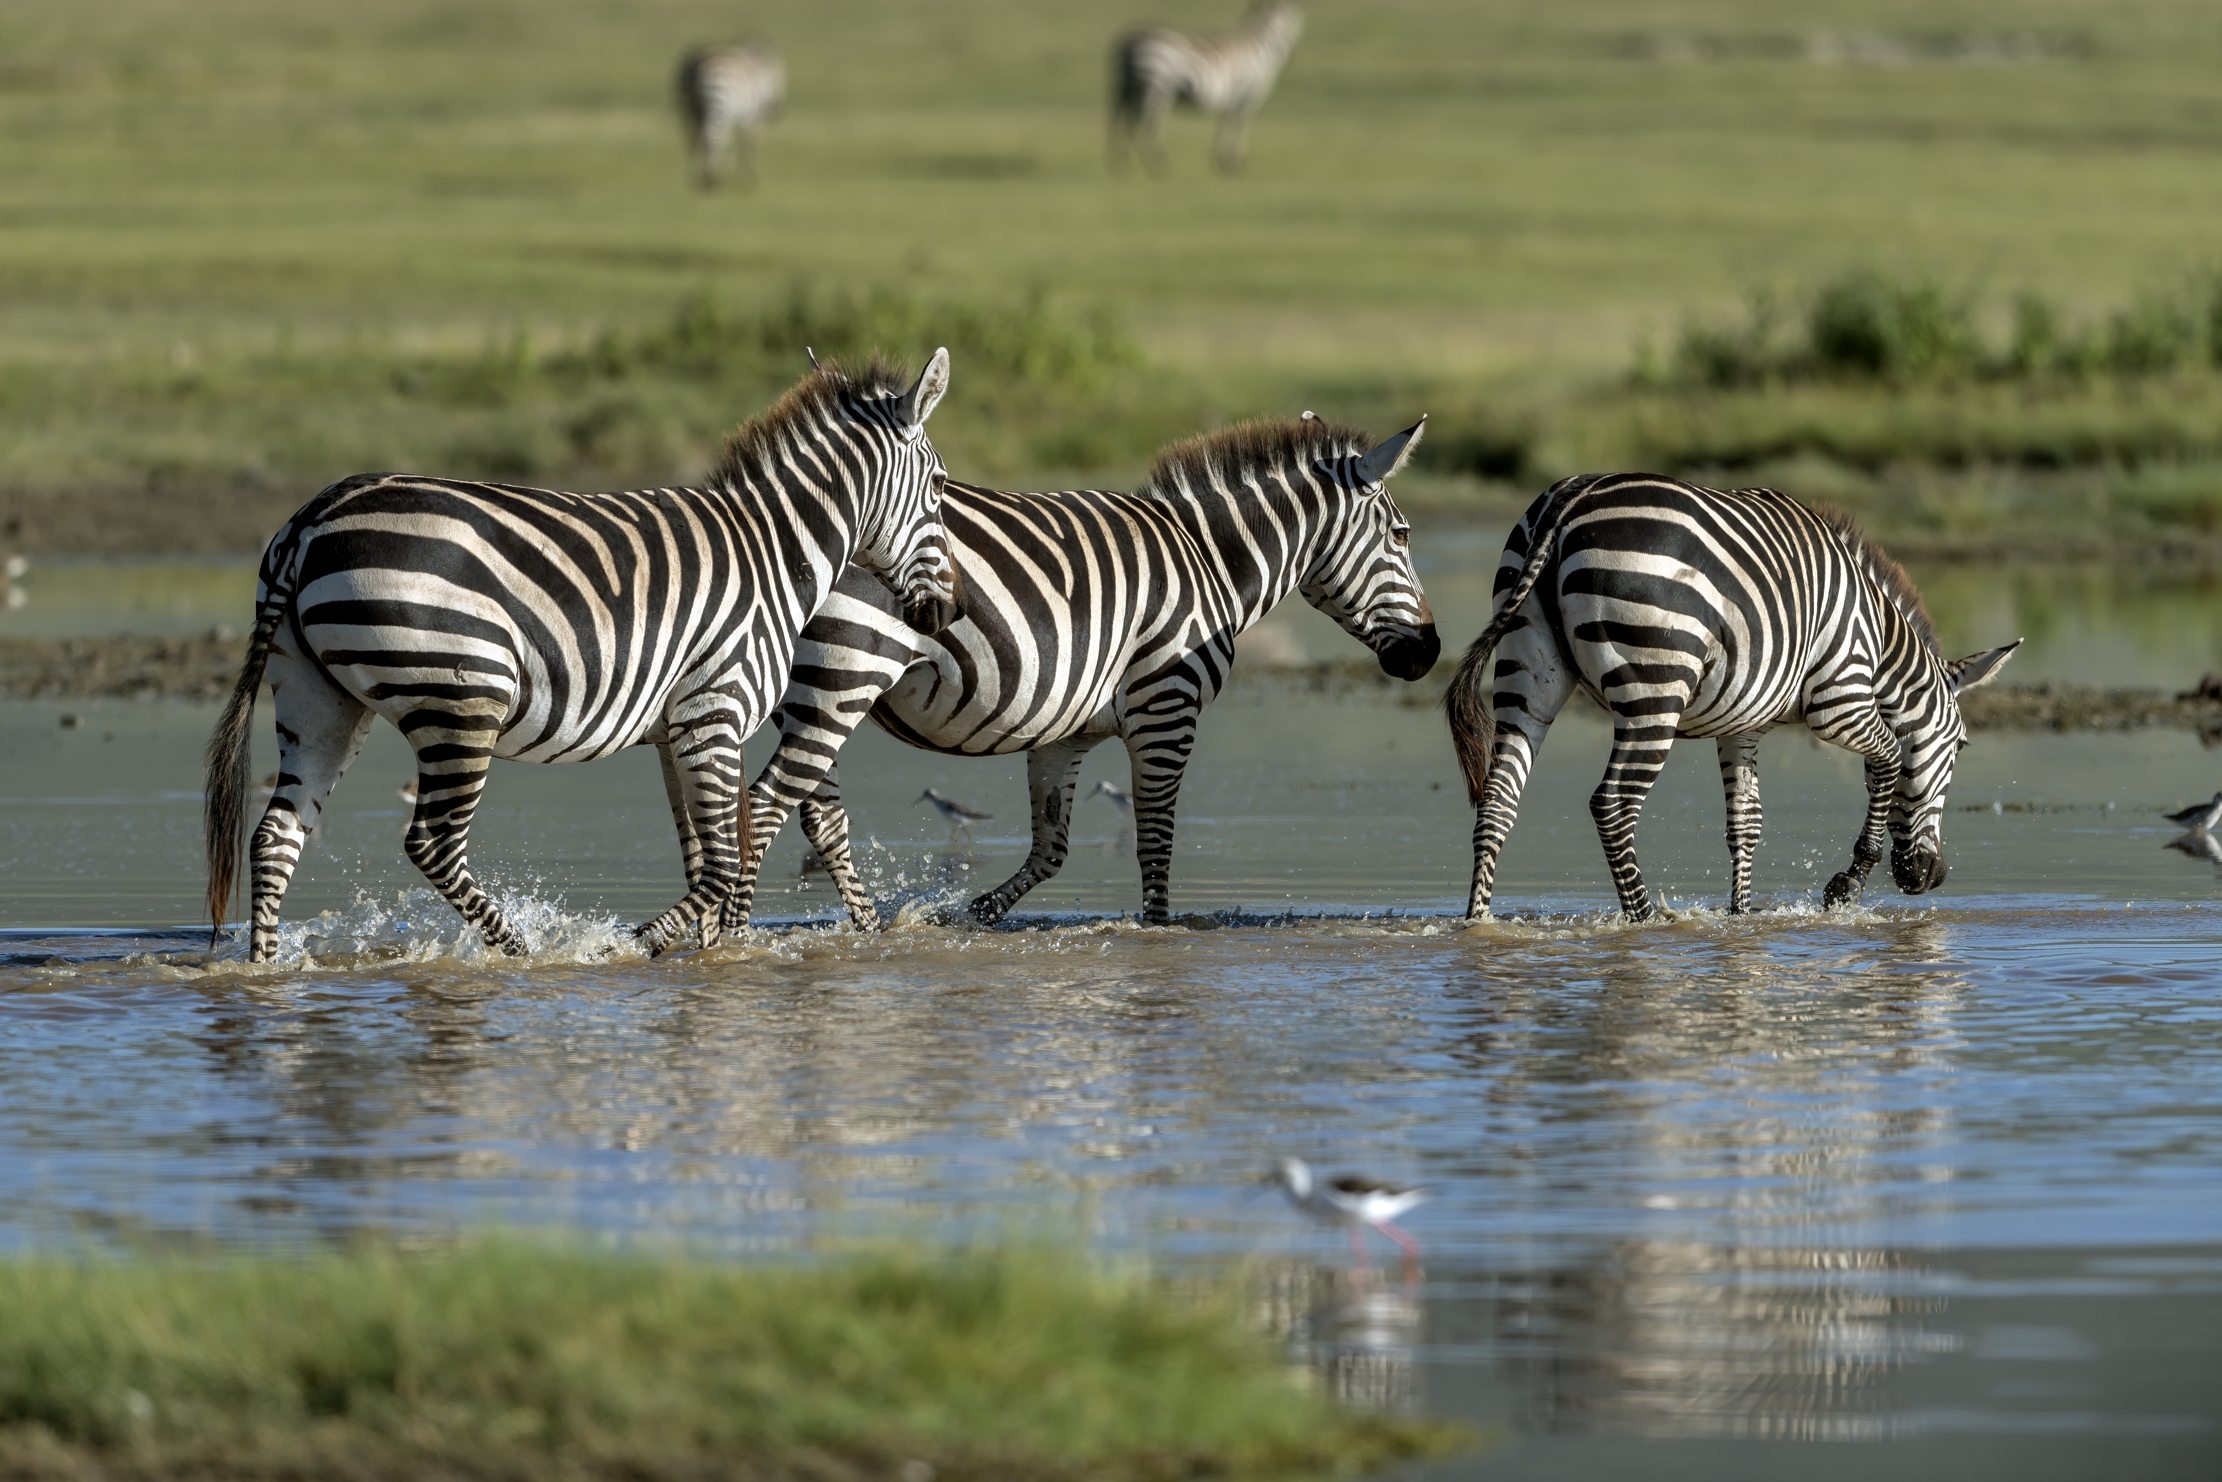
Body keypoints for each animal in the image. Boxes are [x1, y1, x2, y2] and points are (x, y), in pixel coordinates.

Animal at [203, 352, 960, 964]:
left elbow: (703, 860)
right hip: (463, 697)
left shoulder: (678, 729)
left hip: (317, 698)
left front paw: (708, 960)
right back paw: (522, 953)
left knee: (275, 836)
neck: (775, 549)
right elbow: (721, 862)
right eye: (938, 489)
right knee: (433, 844)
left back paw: (265, 970)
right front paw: (629, 945)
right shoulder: (715, 710)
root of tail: (313, 518)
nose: (946, 613)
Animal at [677, 42, 785, 190]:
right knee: (710, 138)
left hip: (689, 112)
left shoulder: (737, 119)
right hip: (718, 104)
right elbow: (751, 145)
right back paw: (710, 178)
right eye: (781, 76)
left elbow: (729, 141)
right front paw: (750, 179)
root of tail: (697, 63)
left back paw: (697, 178)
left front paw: (729, 167)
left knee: (694, 140)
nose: (777, 108)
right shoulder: (755, 119)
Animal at [717, 412, 1438, 931]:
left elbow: (1052, 847)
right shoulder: (1165, 709)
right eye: (1402, 535)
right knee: (767, 806)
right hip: (845, 677)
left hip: (807, 696)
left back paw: (862, 928)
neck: (1209, 560)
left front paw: (972, 915)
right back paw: (730, 937)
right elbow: (1155, 842)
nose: (1429, 652)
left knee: (817, 818)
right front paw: (1158, 934)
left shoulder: (1065, 733)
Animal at [1109, 2, 1303, 175]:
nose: (1293, 59)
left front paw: (1221, 161)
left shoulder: (1230, 98)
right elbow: (1240, 127)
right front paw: (1236, 162)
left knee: (1122, 122)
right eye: (1293, 24)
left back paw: (1121, 165)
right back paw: (1158, 165)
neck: (1261, 47)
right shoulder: (1249, 97)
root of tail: (1130, 40)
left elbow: (1223, 127)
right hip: (1158, 87)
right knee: (1148, 126)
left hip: (1130, 87)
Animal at [1442, 473, 2020, 921]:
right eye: (1961, 747)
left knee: (1497, 803)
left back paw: (1479, 922)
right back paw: (1646, 919)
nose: (1931, 877)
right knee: (1612, 805)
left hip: (1527, 673)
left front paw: (1741, 915)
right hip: (1655, 686)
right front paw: (1848, 883)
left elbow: (1746, 820)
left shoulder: (1743, 724)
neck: (1880, 646)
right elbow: (1891, 760)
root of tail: (1567, 502)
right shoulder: (1840, 701)